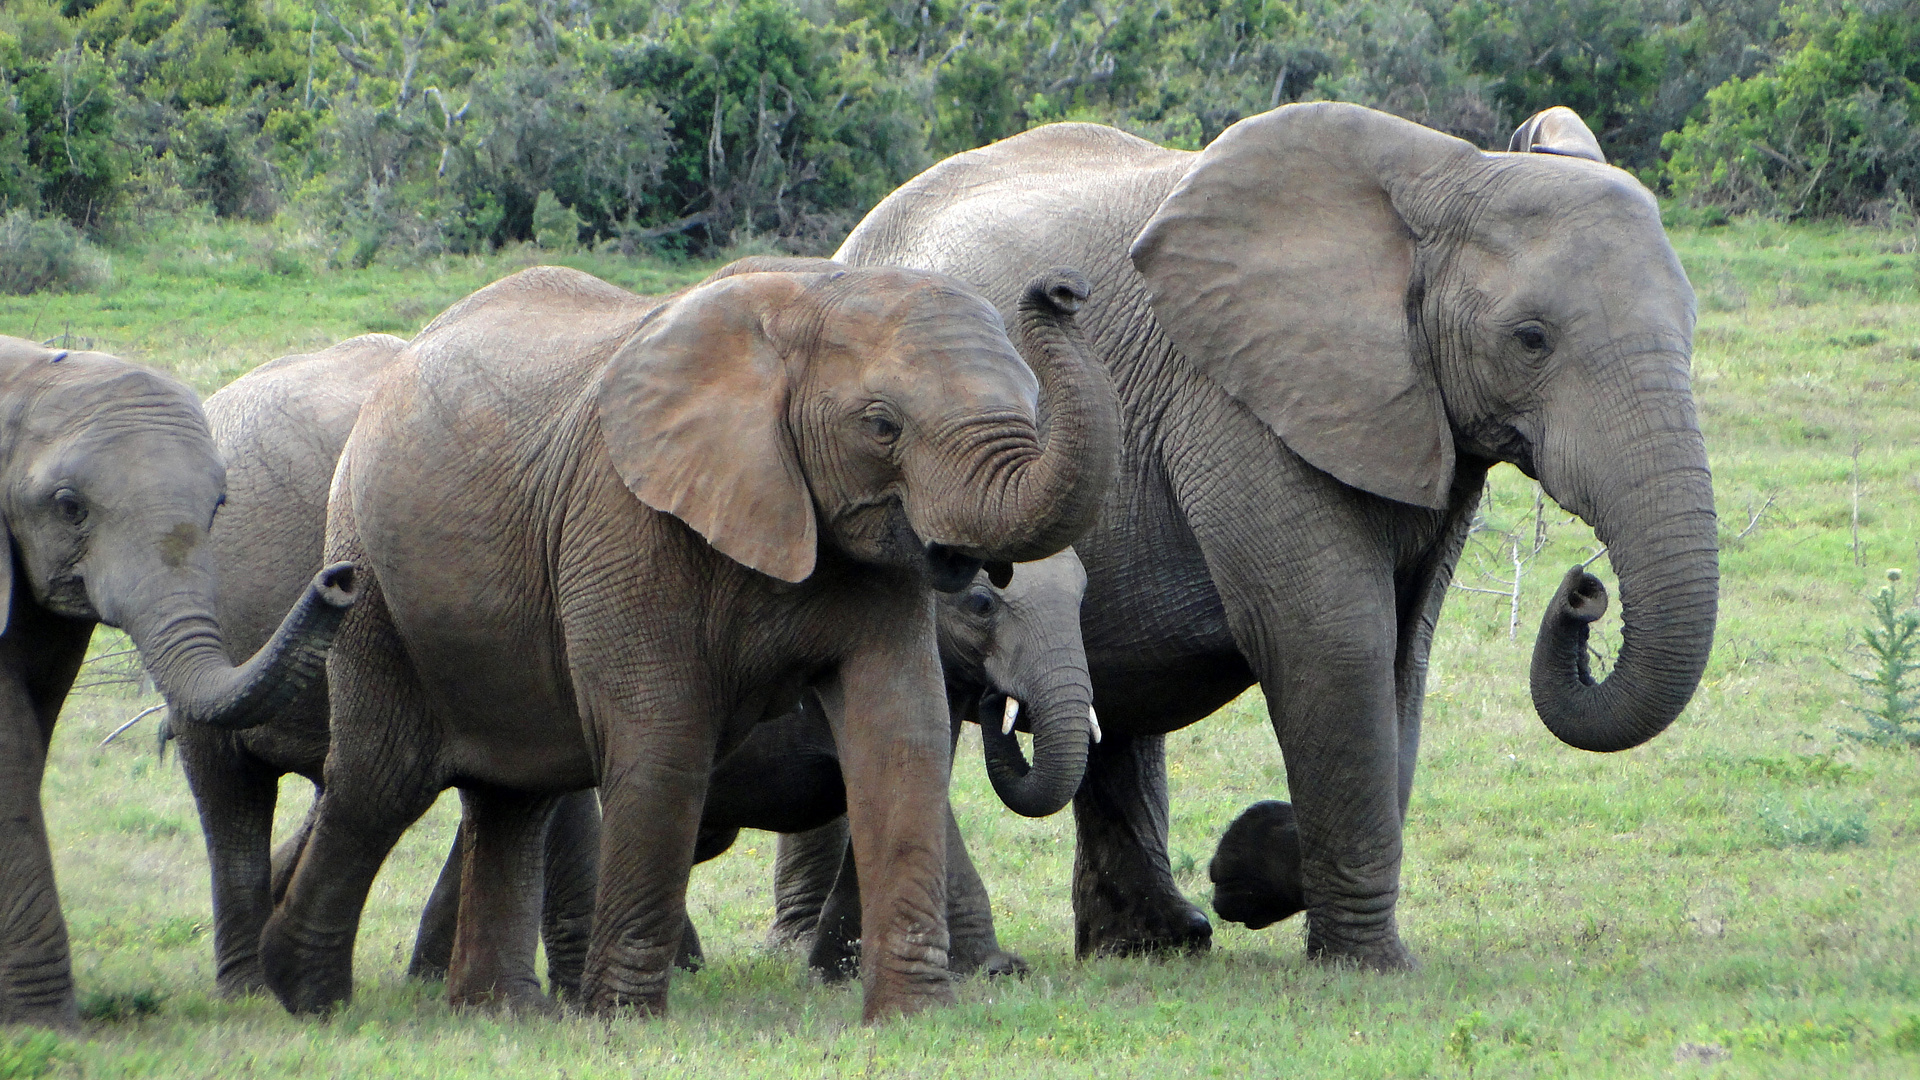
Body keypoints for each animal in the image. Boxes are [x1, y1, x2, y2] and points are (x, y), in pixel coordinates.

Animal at [257, 255, 1121, 1022]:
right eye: (882, 425)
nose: (1061, 288)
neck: (808, 299)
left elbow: (900, 733)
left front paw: (912, 1017)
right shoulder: (624, 517)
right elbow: (662, 737)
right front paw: (624, 1022)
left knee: (513, 797)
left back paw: (497, 1011)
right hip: (372, 583)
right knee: (380, 782)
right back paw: (305, 998)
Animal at [833, 102, 1720, 968]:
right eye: (1531, 339)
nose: (1583, 590)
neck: (1446, 177)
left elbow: (1404, 655)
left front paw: (1250, 869)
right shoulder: (1239, 405)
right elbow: (1335, 638)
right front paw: (1359, 959)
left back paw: (1160, 944)